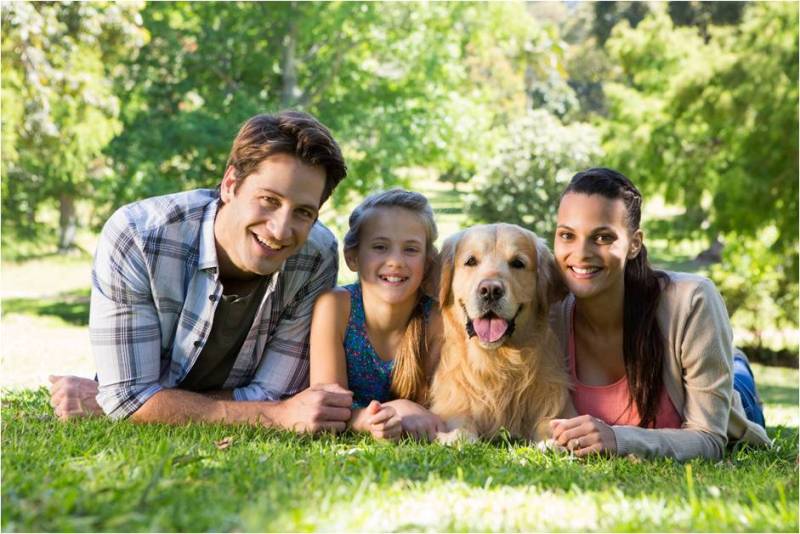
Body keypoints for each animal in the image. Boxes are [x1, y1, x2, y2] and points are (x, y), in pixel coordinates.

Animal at [432, 223, 576, 444]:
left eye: (517, 263)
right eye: (471, 261)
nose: (490, 290)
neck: (498, 361)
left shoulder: (554, 400)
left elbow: (550, 421)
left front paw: (551, 441)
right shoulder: (451, 401)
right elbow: (460, 420)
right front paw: (457, 437)